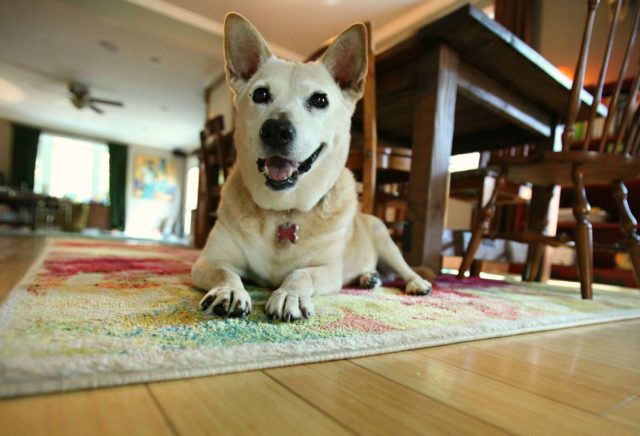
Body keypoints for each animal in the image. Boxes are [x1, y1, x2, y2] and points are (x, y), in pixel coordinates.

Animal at [190, 13, 430, 322]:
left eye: (319, 100)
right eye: (260, 95)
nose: (276, 130)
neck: (285, 210)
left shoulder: (327, 270)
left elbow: (301, 274)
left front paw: (288, 294)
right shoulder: (208, 261)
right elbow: (226, 272)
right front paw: (229, 291)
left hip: (386, 241)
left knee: (404, 268)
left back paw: (416, 282)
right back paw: (369, 277)